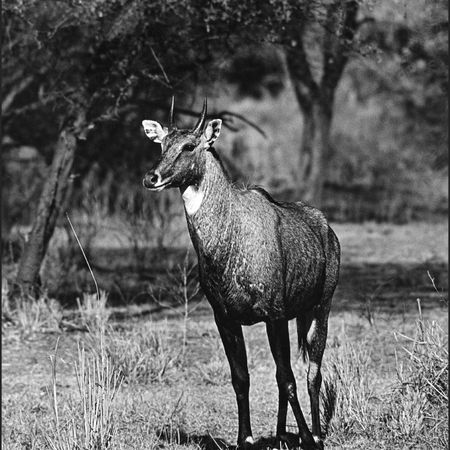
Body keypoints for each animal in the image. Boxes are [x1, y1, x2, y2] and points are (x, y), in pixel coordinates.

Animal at [142, 97, 340, 450]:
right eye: (162, 145)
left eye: (189, 145)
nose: (152, 177)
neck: (229, 238)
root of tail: (326, 228)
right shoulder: (226, 318)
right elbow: (241, 378)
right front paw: (244, 438)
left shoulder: (274, 315)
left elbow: (287, 377)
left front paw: (306, 437)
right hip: (297, 314)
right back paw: (279, 434)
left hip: (321, 308)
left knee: (312, 372)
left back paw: (316, 434)